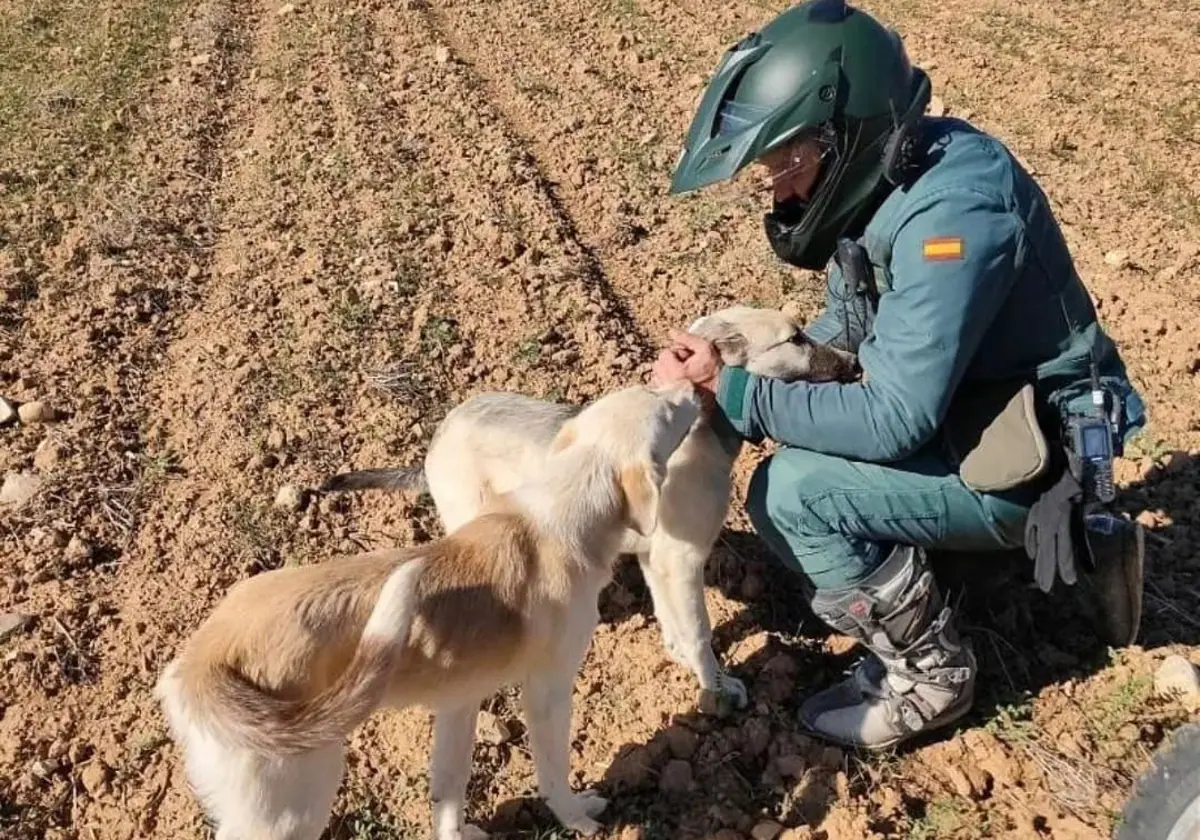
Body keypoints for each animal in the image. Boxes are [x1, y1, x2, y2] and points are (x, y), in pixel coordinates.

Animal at [157, 381, 700, 840]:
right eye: (666, 411)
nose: (694, 386)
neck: (561, 512)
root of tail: (204, 662)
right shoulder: (547, 692)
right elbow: (553, 772)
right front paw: (579, 818)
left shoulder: (459, 701)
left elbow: (447, 793)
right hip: (292, 804)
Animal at [324, 304, 859, 710]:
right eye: (796, 339)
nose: (856, 363)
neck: (701, 432)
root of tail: (435, 441)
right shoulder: (681, 561)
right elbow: (700, 634)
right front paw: (716, 691)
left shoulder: (657, 560)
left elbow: (675, 624)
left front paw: (687, 663)